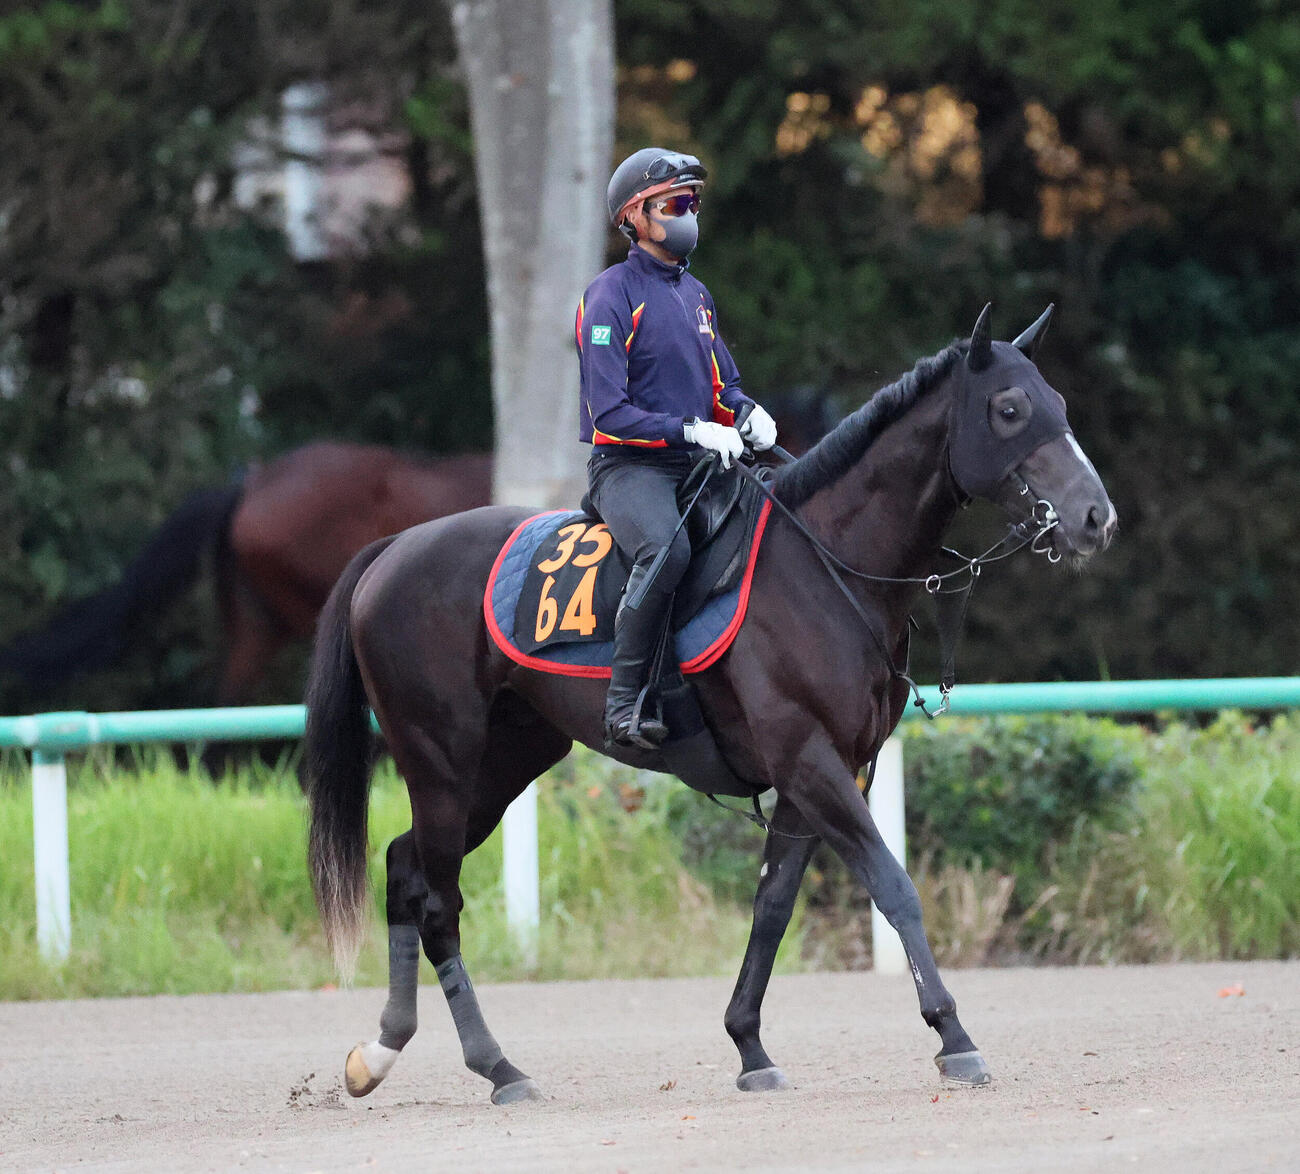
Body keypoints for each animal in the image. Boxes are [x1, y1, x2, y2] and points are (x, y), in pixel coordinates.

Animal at [303, 305, 1116, 1103]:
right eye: (1009, 409)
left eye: (1060, 404)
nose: (1095, 517)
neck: (823, 564)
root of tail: (394, 548)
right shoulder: (810, 760)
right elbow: (894, 885)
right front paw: (954, 1035)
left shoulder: (832, 771)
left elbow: (773, 905)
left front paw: (749, 1044)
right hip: (441, 762)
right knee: (439, 903)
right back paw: (498, 1067)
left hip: (503, 763)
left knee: (405, 867)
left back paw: (381, 1049)